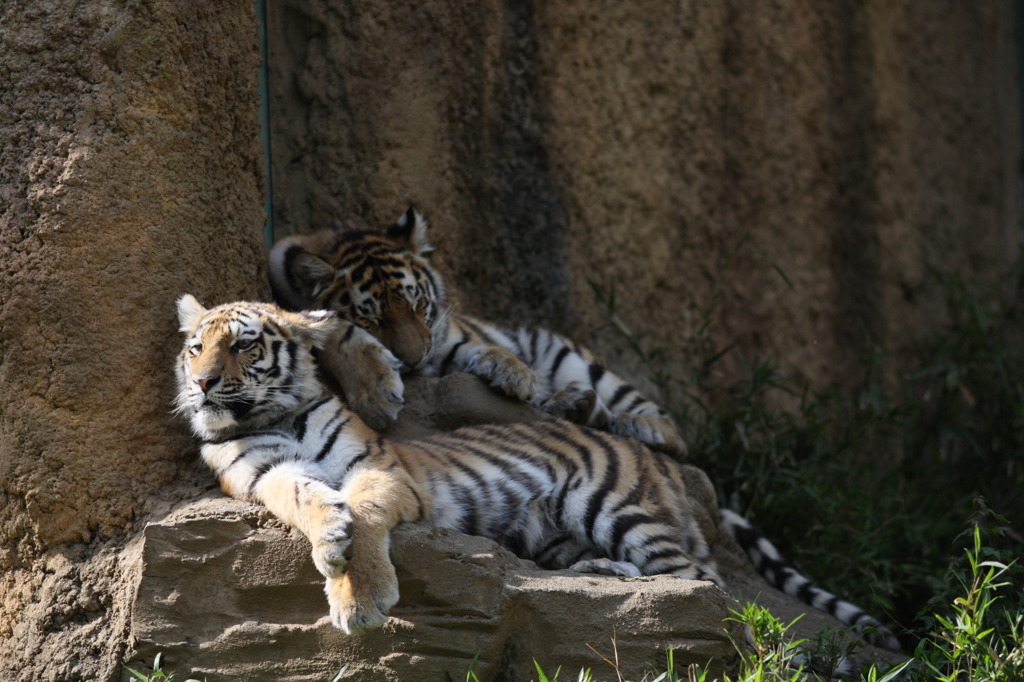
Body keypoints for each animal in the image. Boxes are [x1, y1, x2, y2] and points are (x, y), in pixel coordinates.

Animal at [178, 292, 905, 647]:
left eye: (244, 345)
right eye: (195, 346)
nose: (203, 383)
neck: (271, 412)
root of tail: (659, 457)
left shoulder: (377, 465)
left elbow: (369, 512)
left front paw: (362, 597)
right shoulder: (265, 476)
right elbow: (308, 501)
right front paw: (332, 544)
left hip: (617, 506)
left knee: (703, 583)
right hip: (552, 530)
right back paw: (603, 576)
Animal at [270, 206, 688, 456]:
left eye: (417, 305)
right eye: (372, 320)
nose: (414, 360)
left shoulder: (444, 339)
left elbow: (480, 346)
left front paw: (516, 373)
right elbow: (340, 333)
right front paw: (376, 394)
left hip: (569, 356)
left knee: (673, 434)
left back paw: (638, 423)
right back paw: (571, 406)